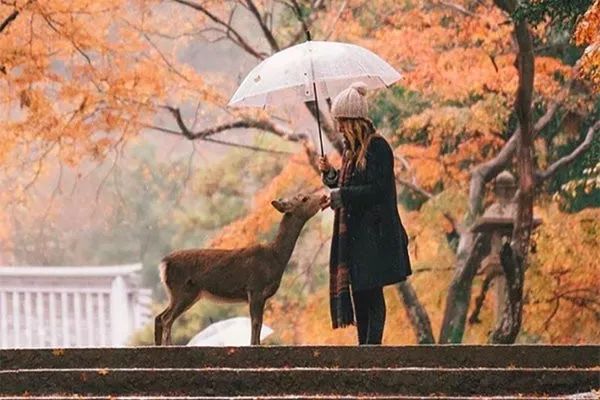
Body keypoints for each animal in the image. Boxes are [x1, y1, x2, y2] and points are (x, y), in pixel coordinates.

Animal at [154, 192, 324, 346]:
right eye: (304, 198)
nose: (324, 197)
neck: (275, 258)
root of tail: (163, 264)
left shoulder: (261, 295)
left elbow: (259, 322)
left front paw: (256, 343)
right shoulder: (255, 287)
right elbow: (255, 321)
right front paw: (254, 345)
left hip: (184, 293)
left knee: (159, 317)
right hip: (182, 290)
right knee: (167, 318)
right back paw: (169, 345)